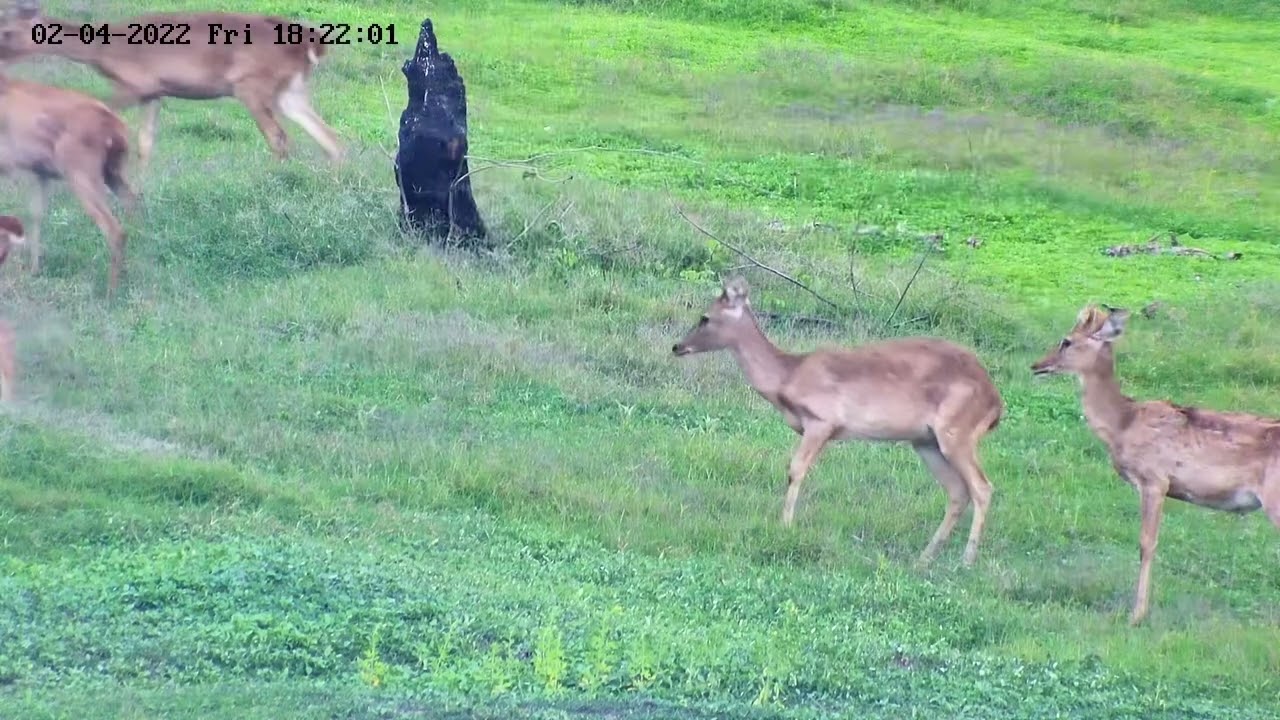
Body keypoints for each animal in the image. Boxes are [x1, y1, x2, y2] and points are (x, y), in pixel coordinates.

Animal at [0, 0, 345, 171]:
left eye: (7, 31)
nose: (1, 56)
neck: (102, 48)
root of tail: (312, 42)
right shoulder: (154, 92)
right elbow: (145, 144)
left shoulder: (135, 85)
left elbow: (102, 110)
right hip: (290, 90)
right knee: (331, 138)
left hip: (252, 86)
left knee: (279, 137)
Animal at [0, 70, 139, 299]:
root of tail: (116, 128)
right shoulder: (40, 173)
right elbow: (36, 214)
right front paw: (35, 270)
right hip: (113, 172)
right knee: (134, 204)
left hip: (81, 174)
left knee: (115, 229)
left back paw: (110, 292)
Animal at [672, 276, 1005, 567]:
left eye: (705, 317)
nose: (677, 346)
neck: (787, 375)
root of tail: (995, 403)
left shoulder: (822, 421)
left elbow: (795, 470)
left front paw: (785, 527)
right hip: (925, 441)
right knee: (957, 492)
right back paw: (924, 559)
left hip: (957, 431)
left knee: (982, 487)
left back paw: (966, 560)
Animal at [1031, 304, 1280, 626]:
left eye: (1067, 341)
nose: (1037, 365)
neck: (1123, 424)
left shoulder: (1154, 480)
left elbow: (1146, 544)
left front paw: (1136, 615)